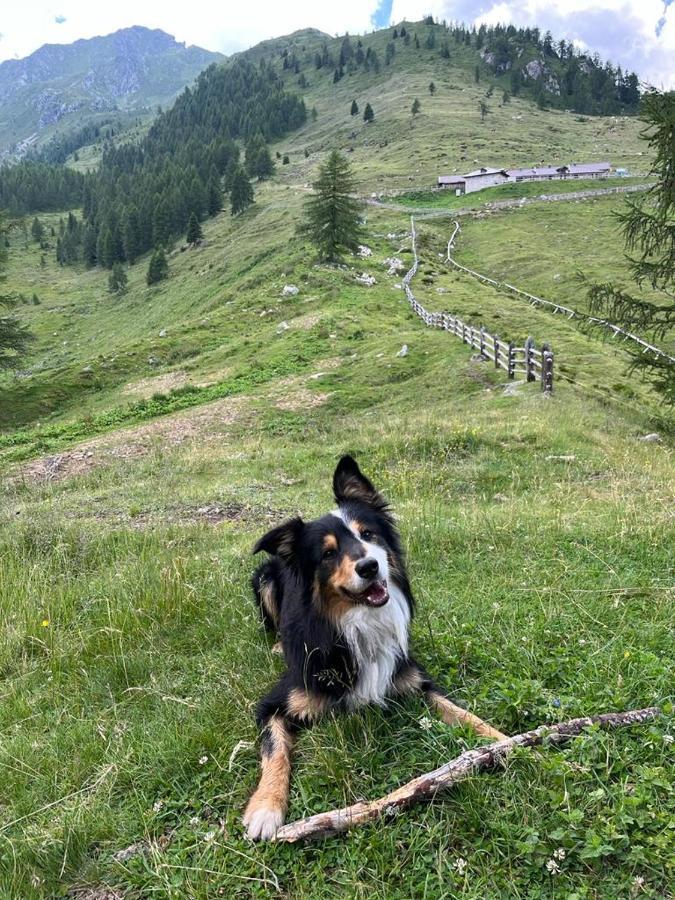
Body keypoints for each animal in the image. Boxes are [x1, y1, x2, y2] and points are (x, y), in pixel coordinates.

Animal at [244, 454, 508, 840]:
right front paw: (265, 808)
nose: (369, 566)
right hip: (262, 578)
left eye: (367, 534)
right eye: (328, 553)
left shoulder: (414, 679)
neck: (358, 621)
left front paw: (506, 740)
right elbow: (275, 750)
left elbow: (463, 713)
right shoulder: (274, 703)